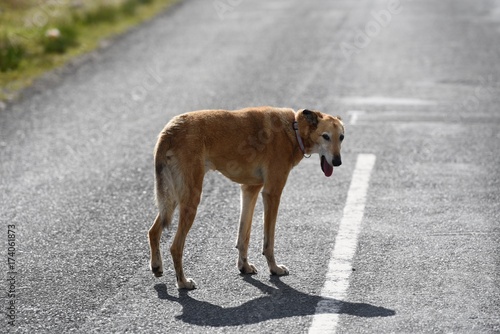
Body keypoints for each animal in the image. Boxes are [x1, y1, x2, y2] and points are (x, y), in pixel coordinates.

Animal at [147, 107, 344, 290]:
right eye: (326, 136)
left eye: (341, 137)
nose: (338, 162)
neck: (294, 128)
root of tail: (170, 130)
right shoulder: (272, 194)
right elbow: (268, 241)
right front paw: (274, 269)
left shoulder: (250, 190)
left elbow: (244, 237)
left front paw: (244, 266)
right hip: (191, 199)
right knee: (175, 247)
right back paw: (183, 282)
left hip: (173, 198)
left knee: (153, 231)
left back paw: (157, 266)